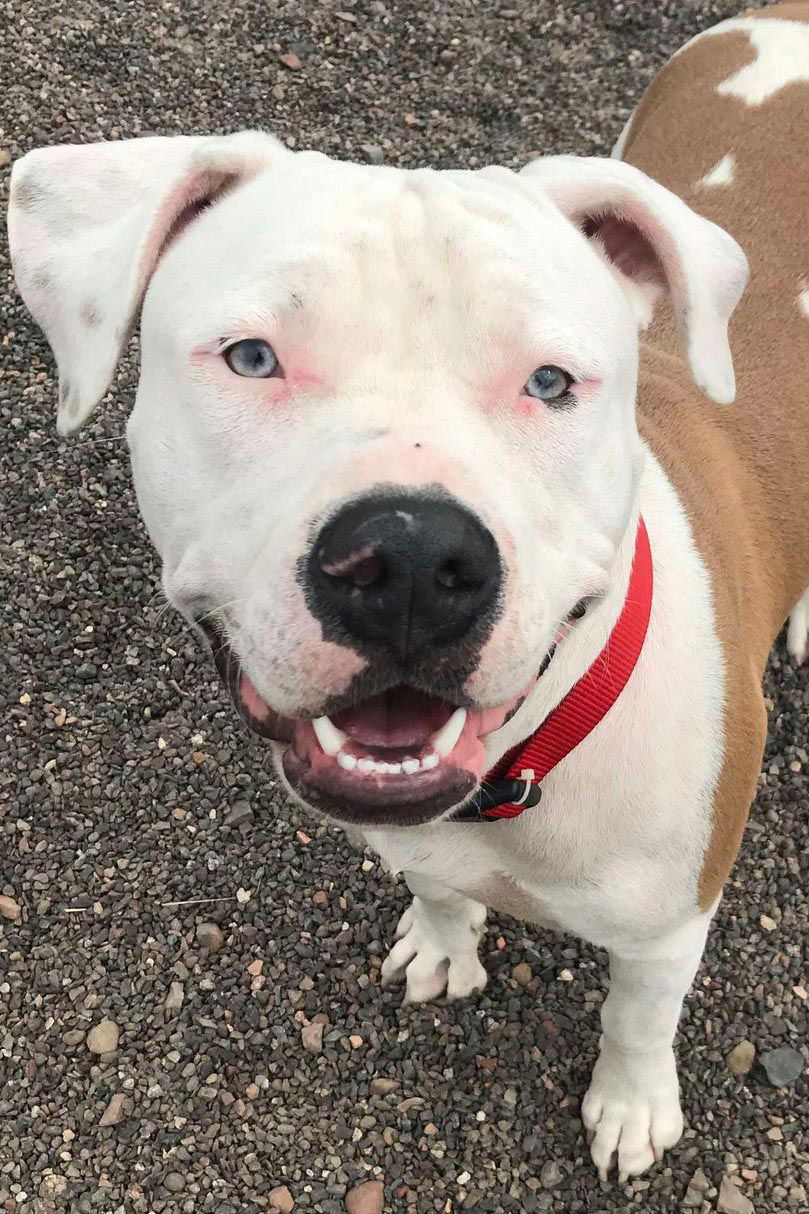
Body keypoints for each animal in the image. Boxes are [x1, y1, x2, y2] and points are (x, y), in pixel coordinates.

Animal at [7, 0, 806, 1175]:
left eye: (551, 382)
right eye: (251, 357)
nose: (413, 562)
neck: (526, 758)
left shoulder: (670, 923)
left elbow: (637, 1016)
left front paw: (629, 1106)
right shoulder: (417, 834)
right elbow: (435, 887)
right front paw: (441, 941)